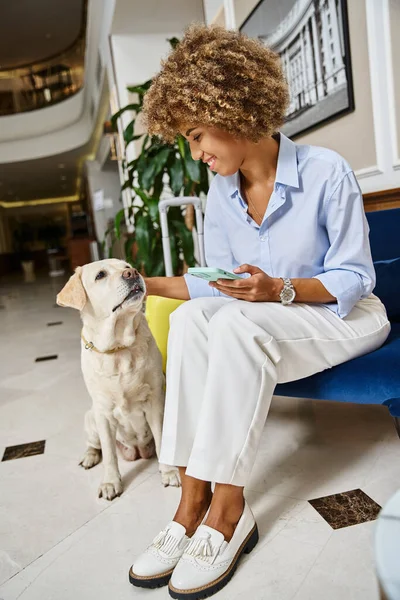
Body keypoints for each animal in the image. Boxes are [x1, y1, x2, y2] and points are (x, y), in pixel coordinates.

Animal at [56, 260, 180, 500]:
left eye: (126, 265)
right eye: (100, 275)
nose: (132, 273)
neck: (118, 347)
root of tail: (137, 451)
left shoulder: (155, 402)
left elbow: (161, 438)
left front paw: (169, 472)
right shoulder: (103, 413)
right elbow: (110, 454)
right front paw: (110, 482)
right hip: (91, 417)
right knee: (95, 445)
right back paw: (89, 457)